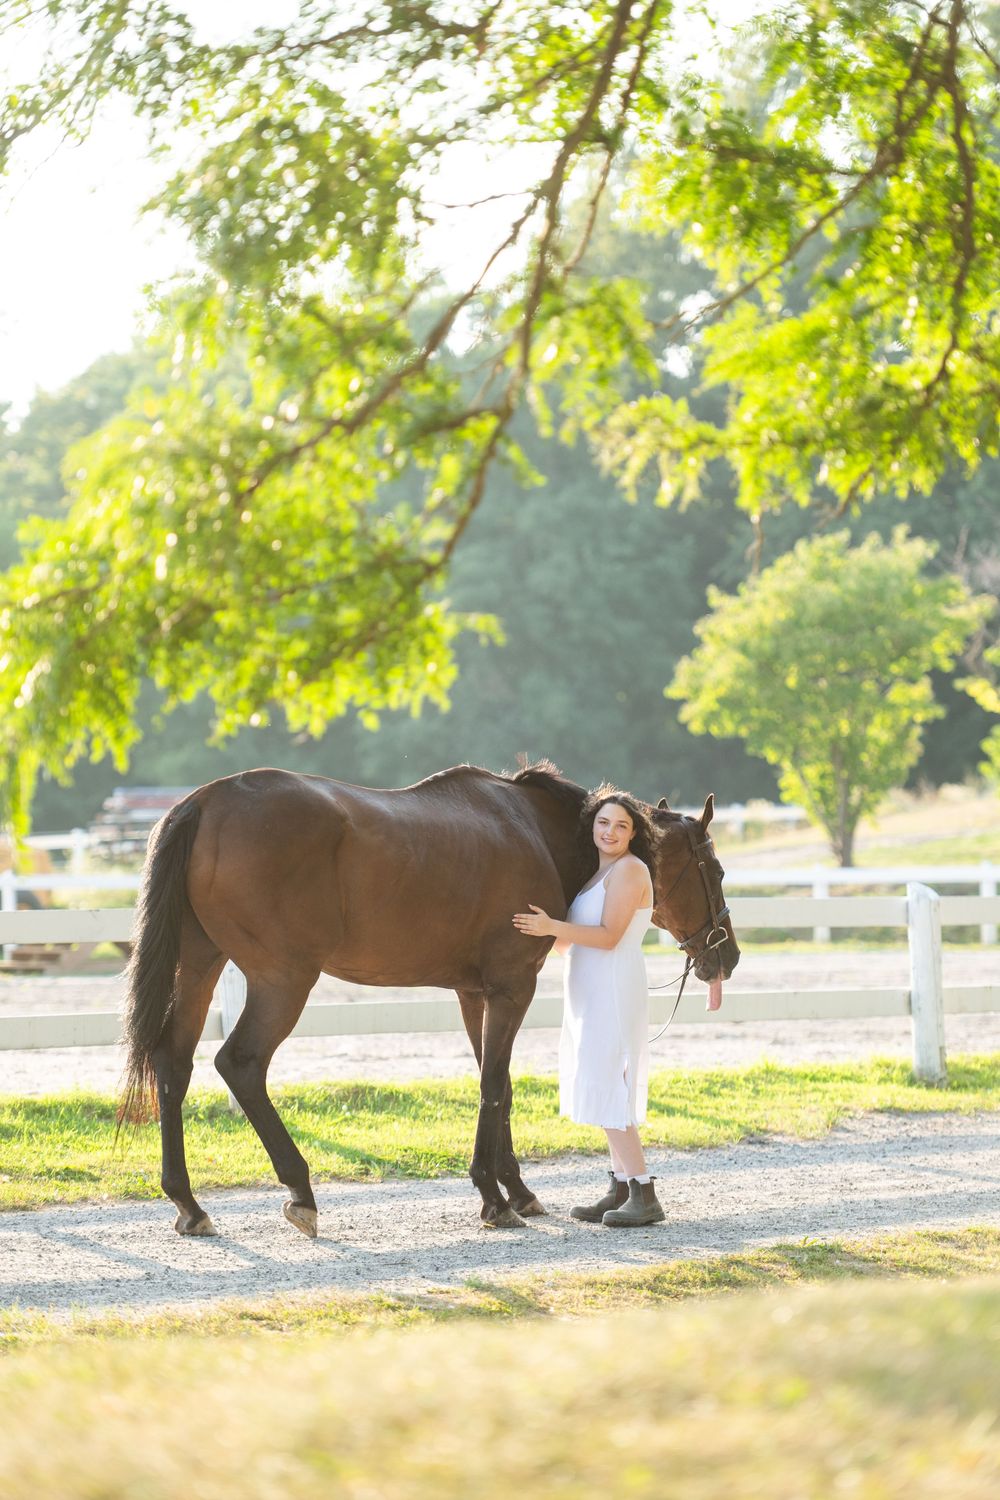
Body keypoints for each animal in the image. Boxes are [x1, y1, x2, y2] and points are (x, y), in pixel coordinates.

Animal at [118, 761, 740, 1236]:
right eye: (714, 868)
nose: (727, 956)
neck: (533, 832)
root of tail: (204, 802)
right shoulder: (513, 986)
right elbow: (493, 1087)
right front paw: (493, 1198)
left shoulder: (474, 993)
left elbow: (500, 1085)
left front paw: (517, 1189)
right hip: (283, 979)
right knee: (240, 1063)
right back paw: (299, 1190)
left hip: (200, 964)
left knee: (173, 1062)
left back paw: (188, 1203)